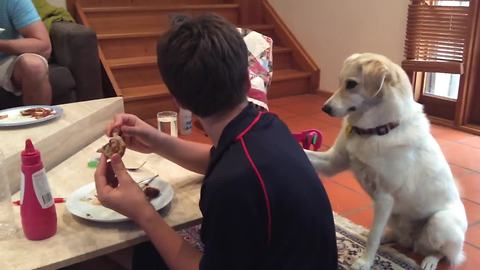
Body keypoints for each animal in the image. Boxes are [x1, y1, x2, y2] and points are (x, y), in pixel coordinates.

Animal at [306, 53, 466, 270]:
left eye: (351, 84)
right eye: (339, 82)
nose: (325, 108)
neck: (377, 130)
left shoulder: (384, 198)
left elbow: (373, 237)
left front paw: (364, 262)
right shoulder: (332, 162)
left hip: (440, 222)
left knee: (445, 254)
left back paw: (430, 260)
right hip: (395, 218)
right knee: (396, 237)